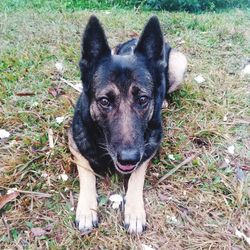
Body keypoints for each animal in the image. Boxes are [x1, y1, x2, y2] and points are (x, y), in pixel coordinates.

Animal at [67, 15, 187, 234]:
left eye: (143, 99)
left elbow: (137, 176)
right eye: (105, 101)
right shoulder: (74, 141)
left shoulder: (149, 148)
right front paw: (87, 209)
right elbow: (86, 172)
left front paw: (135, 211)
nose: (128, 158)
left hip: (179, 64)